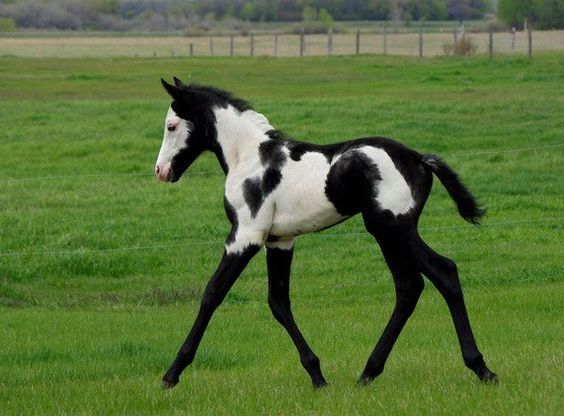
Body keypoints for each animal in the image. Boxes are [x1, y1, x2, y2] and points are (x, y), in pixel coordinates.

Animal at [154, 78, 498, 390]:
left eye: (171, 125)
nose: (161, 171)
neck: (251, 159)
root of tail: (417, 158)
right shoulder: (279, 241)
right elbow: (279, 303)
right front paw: (317, 375)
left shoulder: (245, 237)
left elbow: (212, 294)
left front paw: (172, 374)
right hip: (388, 235)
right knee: (409, 287)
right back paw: (368, 372)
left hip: (394, 228)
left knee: (444, 272)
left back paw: (481, 368)